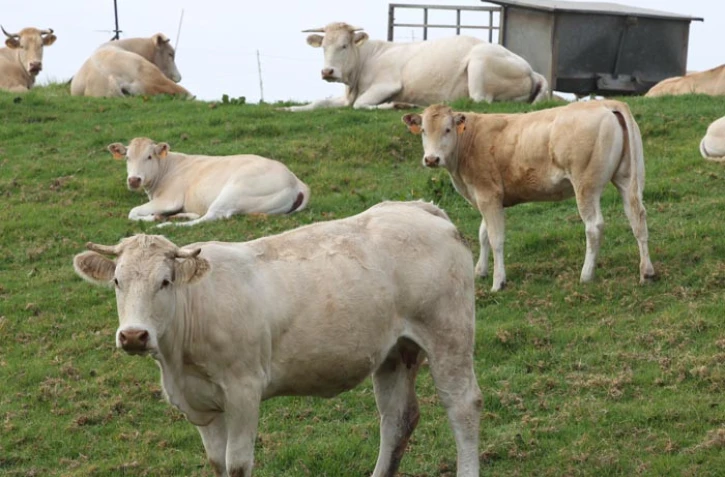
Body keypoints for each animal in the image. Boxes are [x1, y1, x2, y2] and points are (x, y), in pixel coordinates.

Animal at [72, 200, 483, 477]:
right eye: (117, 281)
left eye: (165, 281)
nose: (133, 336)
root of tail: (419, 207)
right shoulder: (200, 405)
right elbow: (217, 463)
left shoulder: (244, 390)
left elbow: (237, 464)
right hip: (395, 351)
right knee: (396, 419)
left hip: (449, 333)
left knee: (463, 406)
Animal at [107, 137, 310, 226]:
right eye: (127, 158)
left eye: (149, 156)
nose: (134, 180)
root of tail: (296, 180)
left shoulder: (169, 199)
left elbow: (132, 212)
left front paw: (154, 217)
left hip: (234, 191)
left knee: (211, 216)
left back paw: (168, 223)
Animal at [283, 22, 548, 111]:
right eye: (323, 46)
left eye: (344, 45)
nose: (327, 72)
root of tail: (532, 70)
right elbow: (320, 103)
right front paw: (290, 109)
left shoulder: (387, 84)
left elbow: (361, 105)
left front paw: (398, 104)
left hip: (479, 61)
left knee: (479, 100)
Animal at [402, 101, 656, 291]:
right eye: (423, 130)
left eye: (447, 129)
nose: (431, 159)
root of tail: (606, 103)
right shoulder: (487, 197)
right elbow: (483, 233)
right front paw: (479, 271)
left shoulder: (487, 194)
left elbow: (495, 238)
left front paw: (498, 282)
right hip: (626, 179)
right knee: (637, 218)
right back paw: (647, 272)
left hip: (586, 184)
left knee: (594, 226)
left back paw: (586, 275)